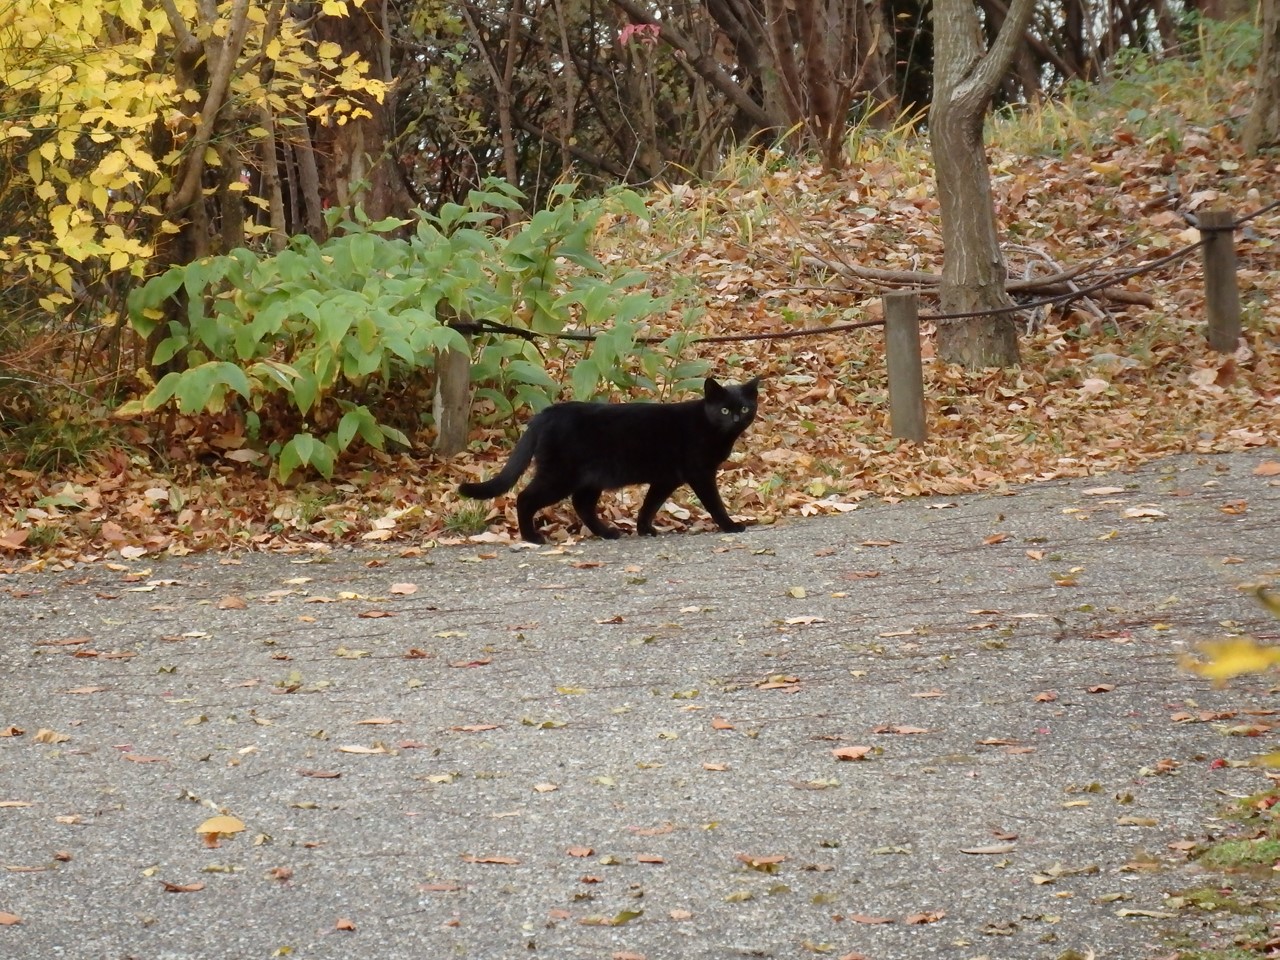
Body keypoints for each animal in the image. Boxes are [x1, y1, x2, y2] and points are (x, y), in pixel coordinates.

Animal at [460, 378, 757, 545]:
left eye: (744, 408)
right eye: (724, 409)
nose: (735, 419)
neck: (710, 427)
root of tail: (546, 412)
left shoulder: (665, 478)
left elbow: (650, 504)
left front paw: (644, 529)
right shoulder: (700, 473)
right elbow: (715, 503)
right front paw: (730, 526)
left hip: (590, 478)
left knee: (582, 505)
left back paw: (607, 533)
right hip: (560, 475)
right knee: (525, 498)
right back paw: (531, 537)